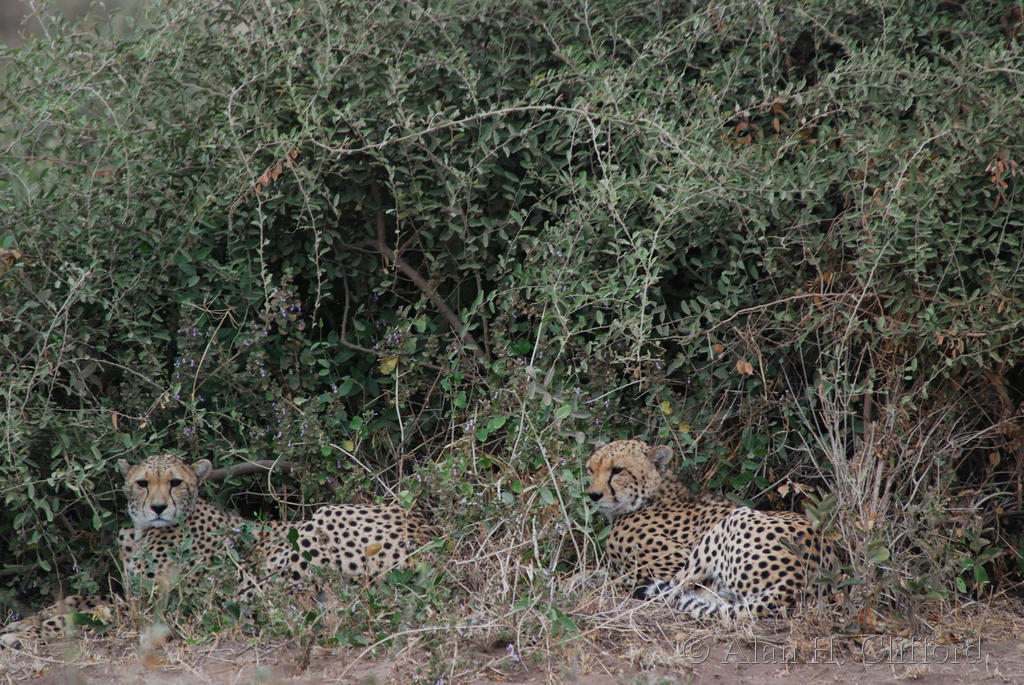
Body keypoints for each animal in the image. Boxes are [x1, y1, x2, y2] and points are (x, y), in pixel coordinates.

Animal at [1, 453, 434, 648]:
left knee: (275, 601)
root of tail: (427, 525)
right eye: (142, 483)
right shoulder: (133, 590)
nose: (158, 507)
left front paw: (26, 632)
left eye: (175, 482)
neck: (142, 533)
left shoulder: (160, 604)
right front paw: (24, 622)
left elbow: (87, 613)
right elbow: (75, 600)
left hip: (311, 529)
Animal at [586, 439, 837, 620]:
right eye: (591, 469)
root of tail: (797, 582)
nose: (593, 495)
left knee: (677, 590)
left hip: (733, 521)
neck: (652, 495)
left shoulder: (673, 561)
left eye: (618, 470)